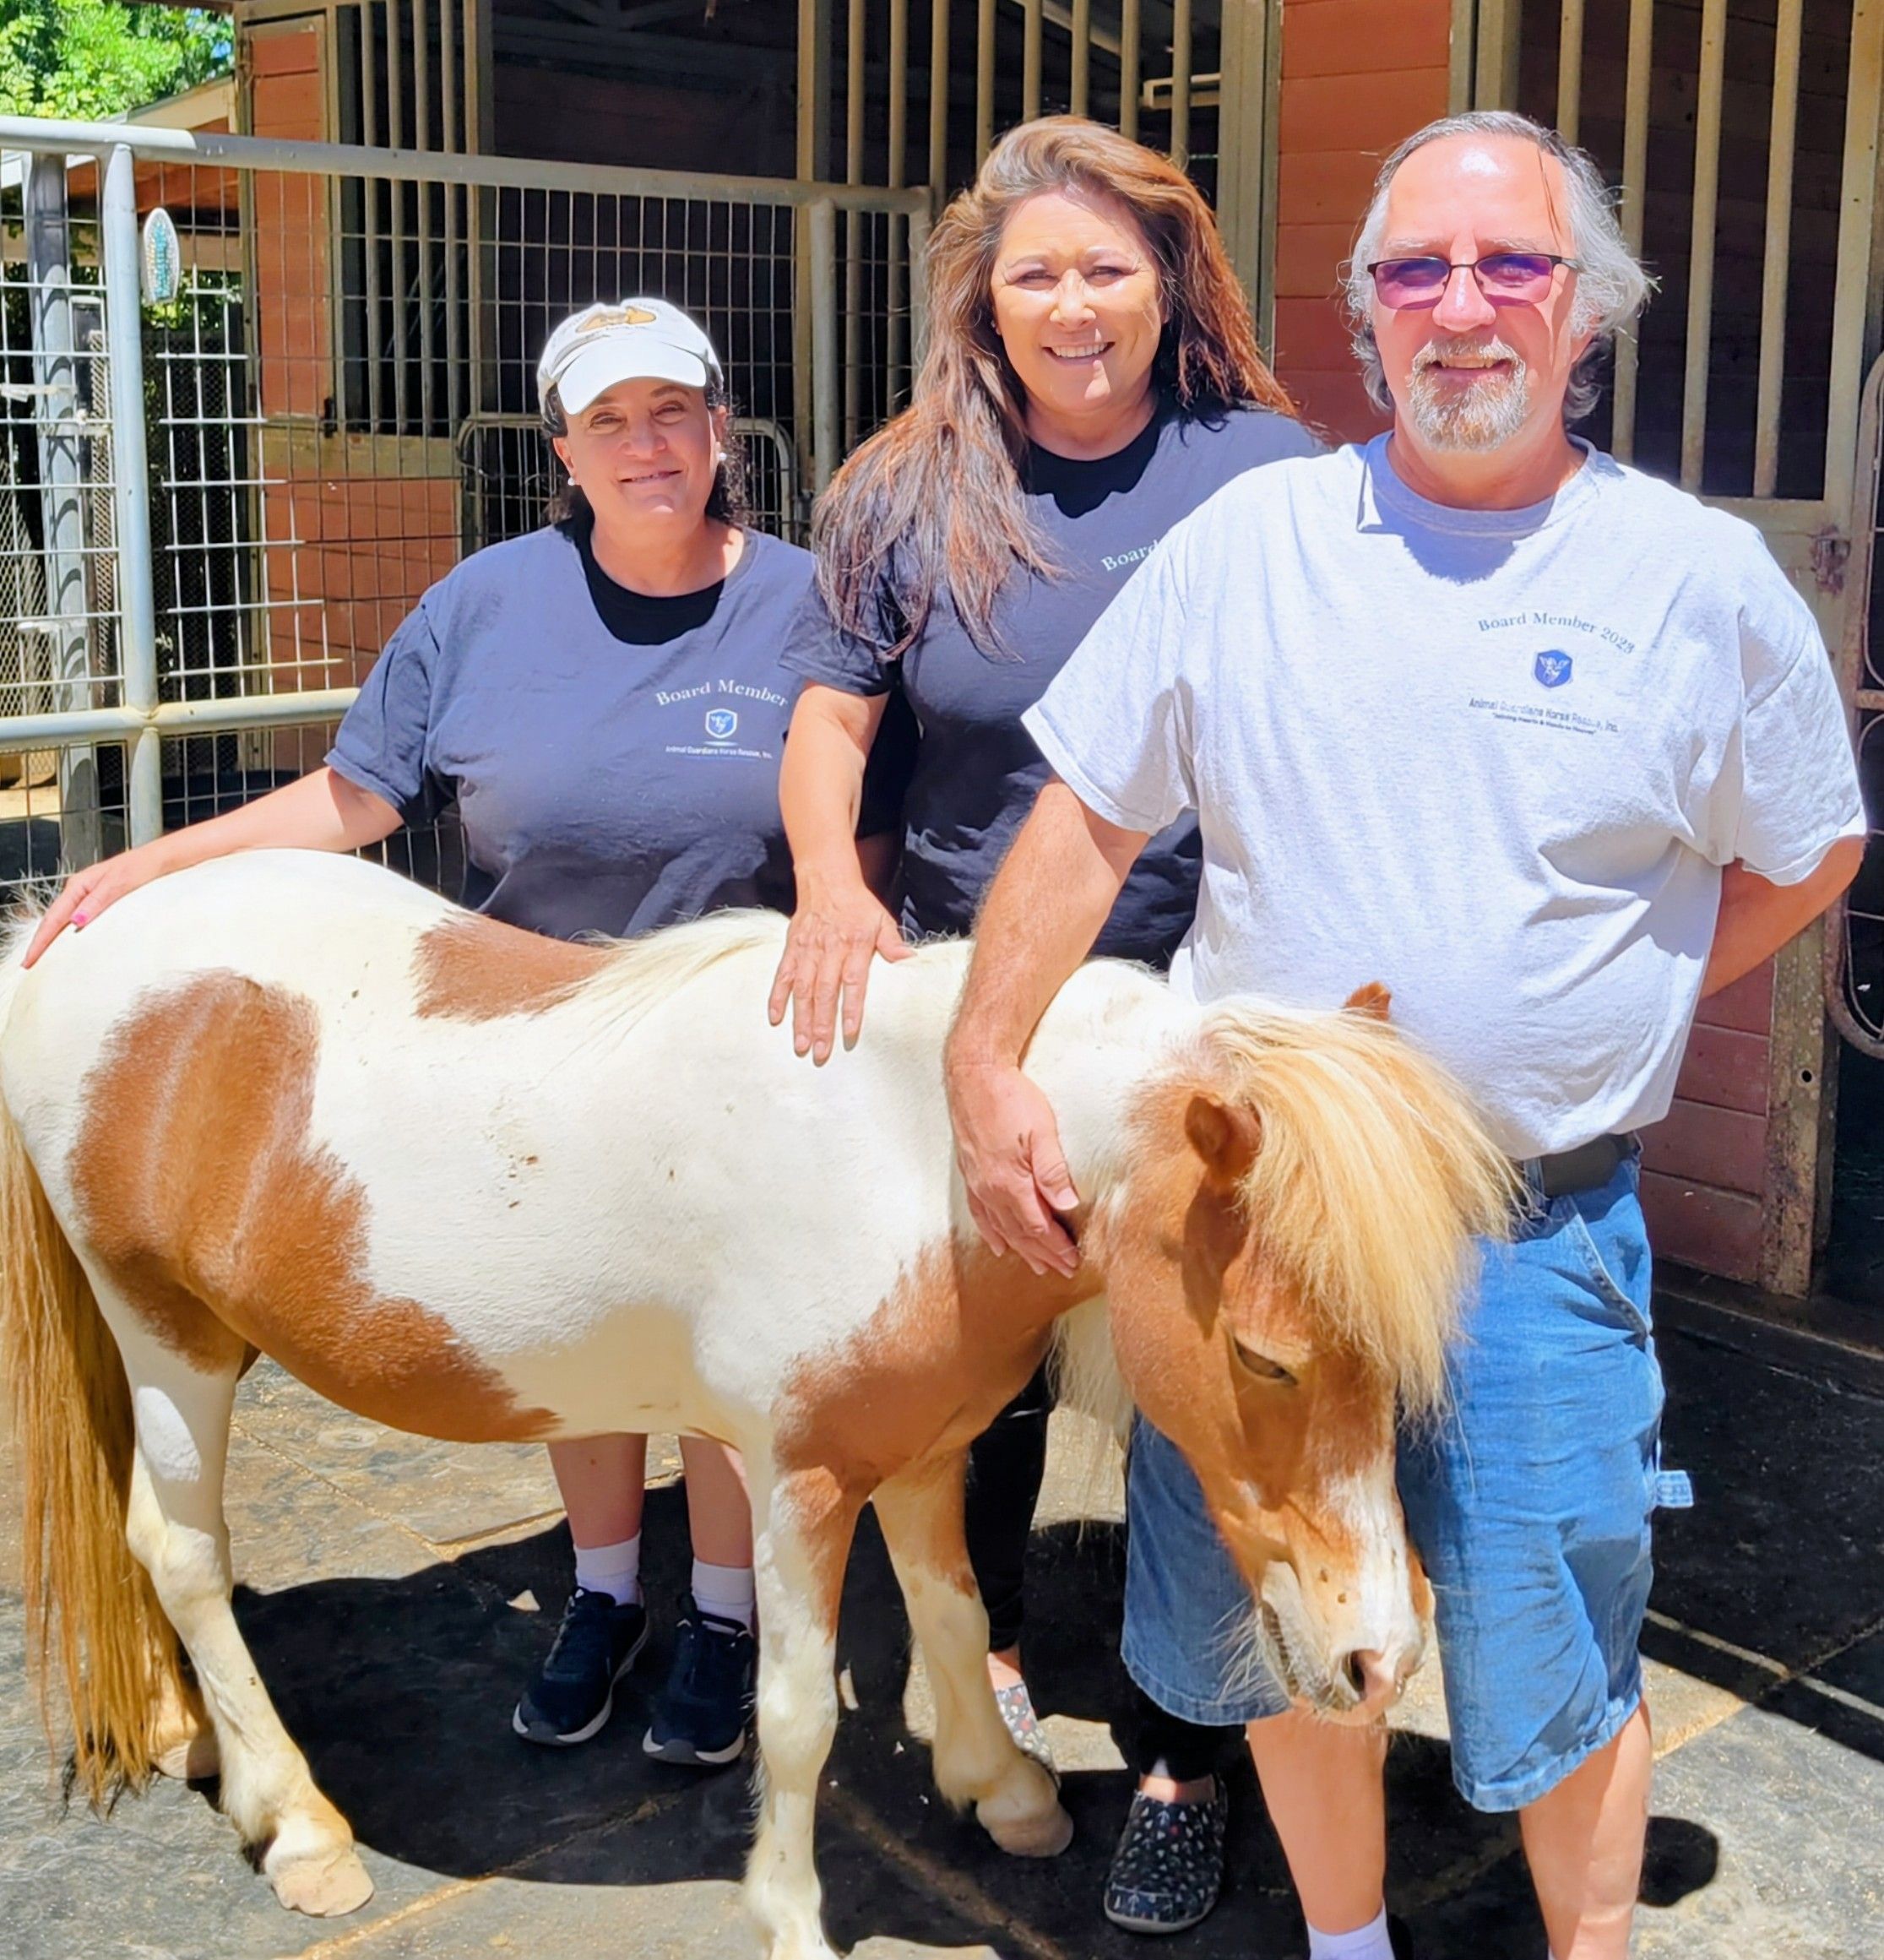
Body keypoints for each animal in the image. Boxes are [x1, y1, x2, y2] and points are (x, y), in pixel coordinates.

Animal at [0, 849, 1511, 1960]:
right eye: (1264, 1357)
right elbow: (795, 1715)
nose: (1378, 1658)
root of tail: (66, 940)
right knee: (183, 1552)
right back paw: (298, 1825)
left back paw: (192, 1732)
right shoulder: (799, 1483)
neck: (920, 1154)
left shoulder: (921, 1451)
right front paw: (788, 1913)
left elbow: (954, 1612)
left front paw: (1007, 1795)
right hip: (170, 1337)